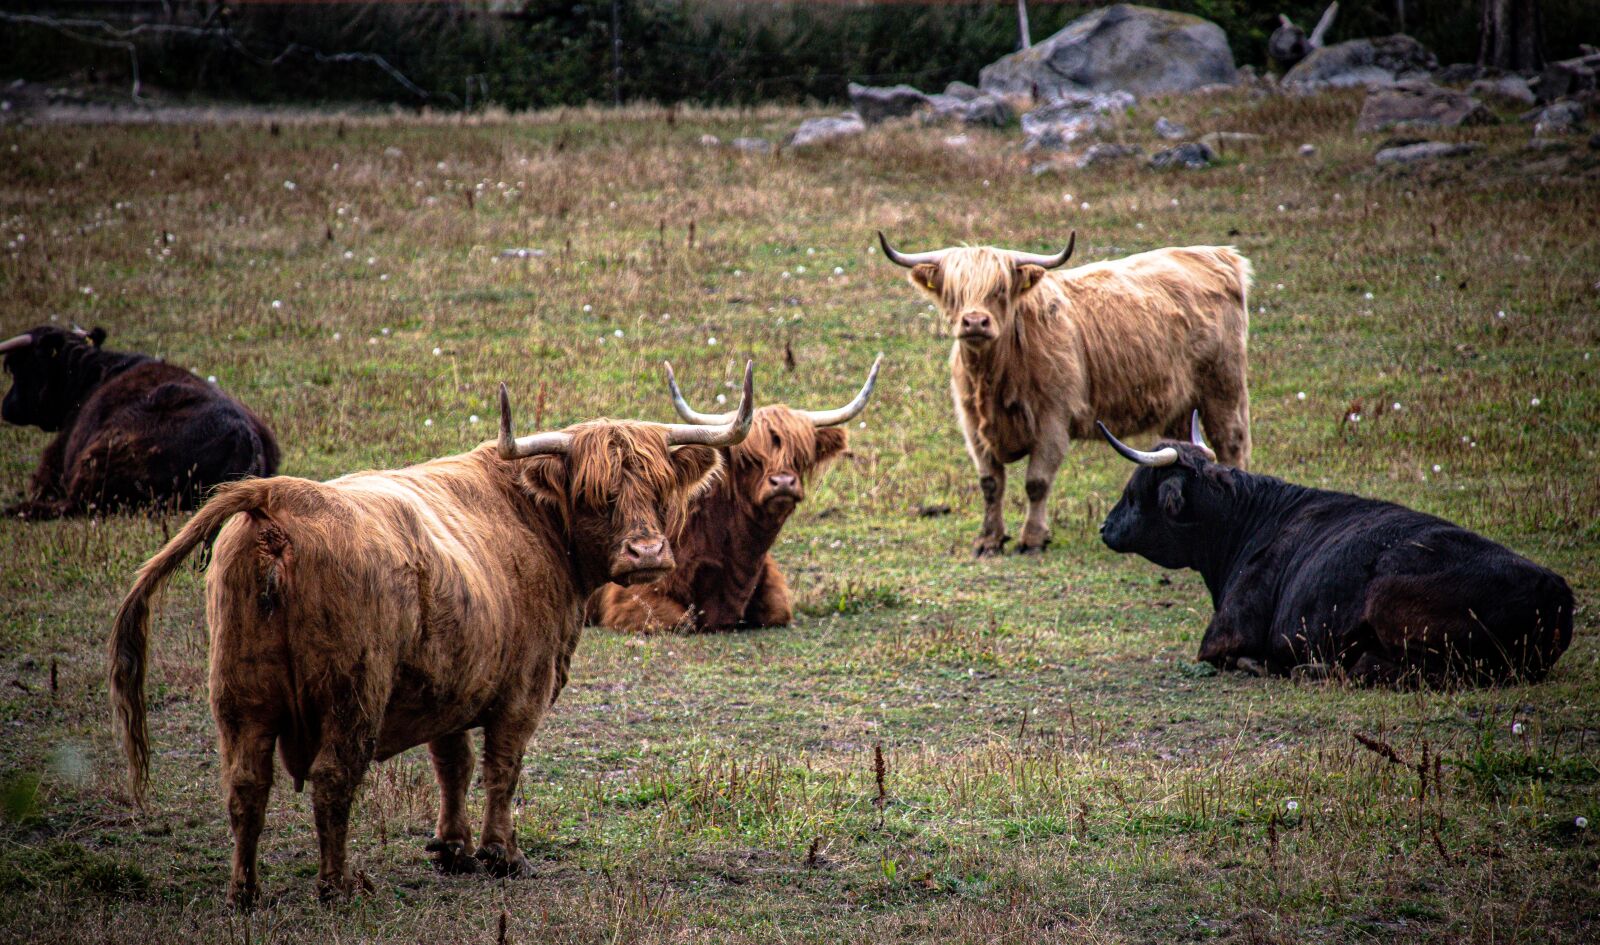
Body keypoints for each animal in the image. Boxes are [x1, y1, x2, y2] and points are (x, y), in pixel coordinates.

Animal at [1, 325, 279, 519]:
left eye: (17, 367)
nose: (6, 407)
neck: (86, 377)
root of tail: (243, 438)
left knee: (75, 505)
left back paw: (17, 510)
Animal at [108, 365, 756, 906]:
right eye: (597, 494)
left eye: (659, 489)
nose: (647, 553)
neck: (535, 518)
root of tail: (278, 496)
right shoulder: (523, 687)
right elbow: (502, 768)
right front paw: (502, 854)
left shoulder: (453, 681)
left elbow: (454, 763)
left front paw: (452, 848)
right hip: (352, 692)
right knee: (332, 779)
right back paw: (338, 887)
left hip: (239, 695)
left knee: (245, 786)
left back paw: (245, 893)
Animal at [879, 232, 1252, 556]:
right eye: (954, 292)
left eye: (999, 289)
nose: (974, 322)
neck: (995, 375)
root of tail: (1218, 254)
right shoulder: (973, 426)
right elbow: (990, 483)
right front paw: (989, 540)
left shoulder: (1053, 420)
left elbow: (1036, 481)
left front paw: (1032, 539)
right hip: (1179, 405)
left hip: (1223, 387)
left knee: (1231, 443)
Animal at [1096, 415, 1574, 687]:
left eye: (1135, 492)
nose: (1105, 527)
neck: (1247, 522)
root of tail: (1551, 589)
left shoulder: (1224, 635)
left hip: (1392, 606)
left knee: (1389, 670)